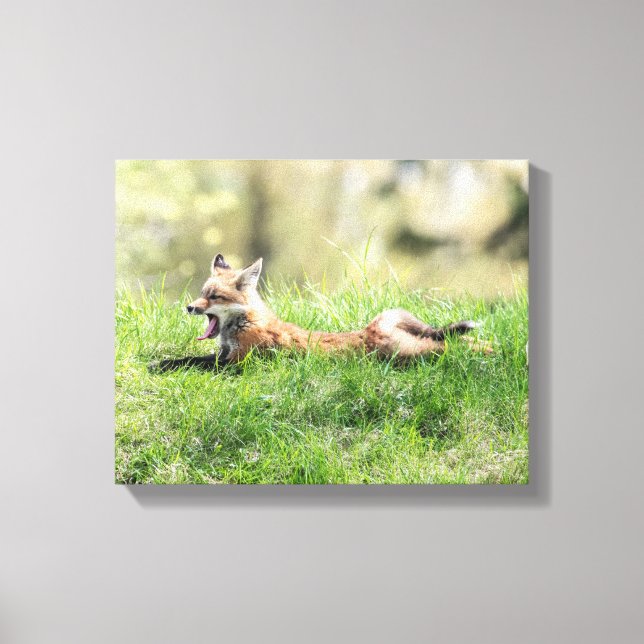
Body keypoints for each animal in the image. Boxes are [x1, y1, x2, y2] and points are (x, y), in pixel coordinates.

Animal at [149, 253, 491, 372]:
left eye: (214, 297)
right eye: (201, 294)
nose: (189, 307)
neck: (243, 324)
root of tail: (371, 330)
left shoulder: (237, 363)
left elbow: (192, 363)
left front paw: (161, 366)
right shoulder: (222, 355)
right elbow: (186, 358)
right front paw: (161, 362)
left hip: (409, 353)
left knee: (450, 346)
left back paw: (488, 351)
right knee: (452, 340)